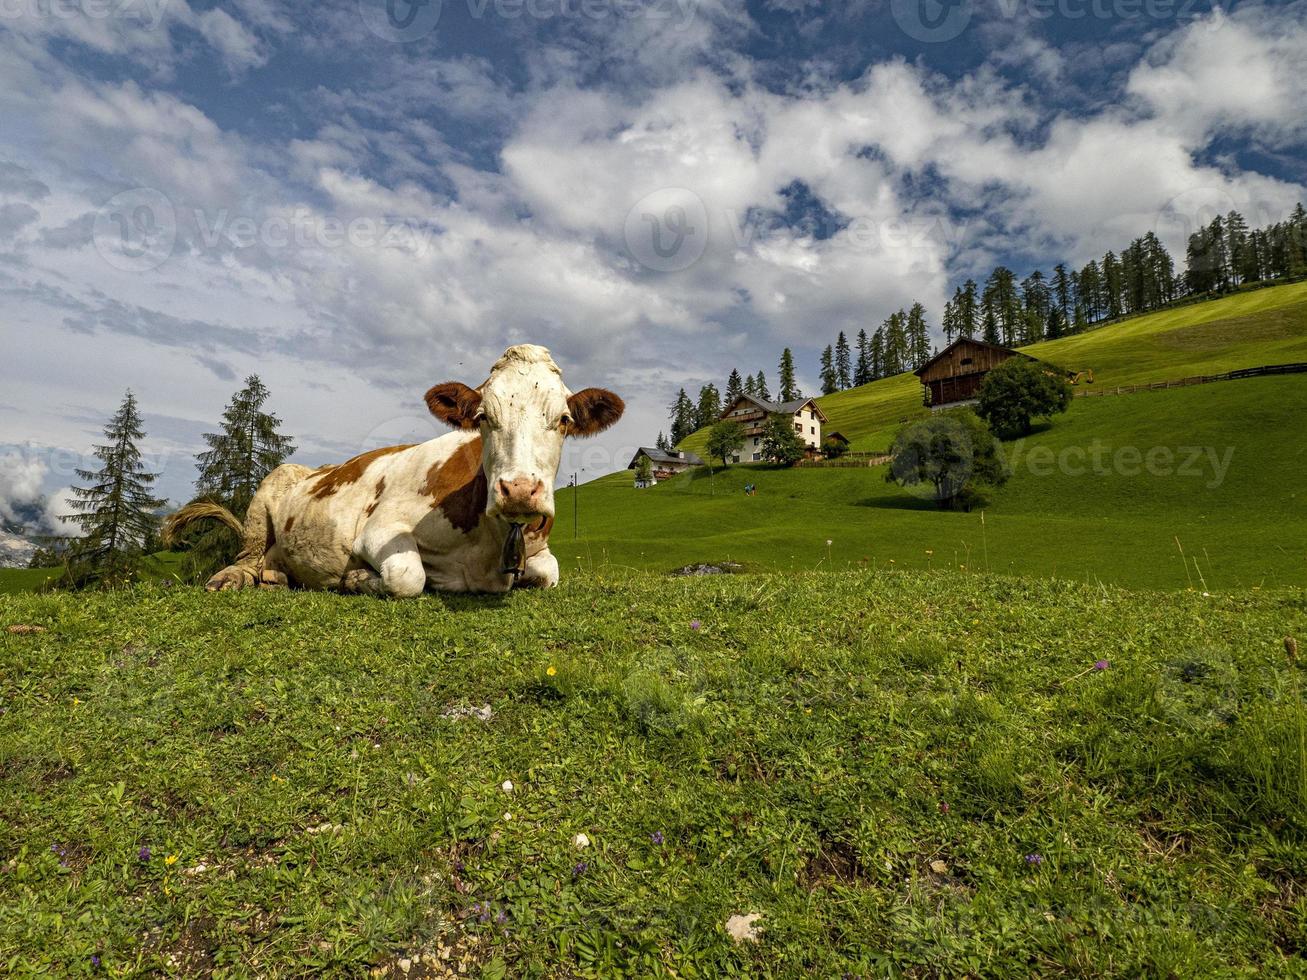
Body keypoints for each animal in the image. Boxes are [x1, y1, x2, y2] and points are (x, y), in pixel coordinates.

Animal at [165, 344, 624, 598]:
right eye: (482, 417)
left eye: (564, 420)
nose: (520, 490)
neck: (489, 544)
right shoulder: (379, 529)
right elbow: (408, 576)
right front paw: (356, 579)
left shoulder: (539, 552)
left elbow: (550, 573)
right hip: (269, 488)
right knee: (246, 557)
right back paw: (230, 579)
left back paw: (277, 577)